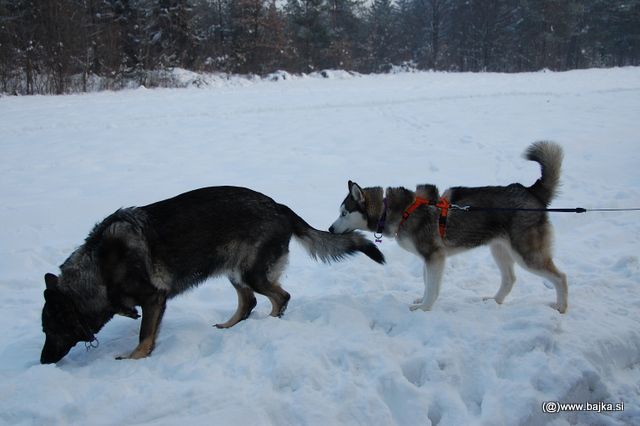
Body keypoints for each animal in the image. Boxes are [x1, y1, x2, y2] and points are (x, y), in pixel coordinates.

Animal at [41, 186, 384, 362]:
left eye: (49, 329)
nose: (43, 361)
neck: (98, 269)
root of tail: (279, 206)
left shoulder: (154, 299)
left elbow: (144, 335)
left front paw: (135, 358)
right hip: (236, 272)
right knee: (249, 302)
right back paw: (230, 326)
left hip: (251, 273)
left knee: (280, 297)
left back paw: (269, 324)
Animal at [332, 142, 568, 312]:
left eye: (344, 213)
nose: (331, 229)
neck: (397, 210)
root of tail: (531, 191)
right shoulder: (428, 258)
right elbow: (427, 283)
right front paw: (422, 301)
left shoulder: (435, 256)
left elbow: (432, 287)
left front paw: (424, 308)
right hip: (499, 249)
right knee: (510, 279)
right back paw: (494, 301)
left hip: (526, 254)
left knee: (561, 277)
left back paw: (561, 307)